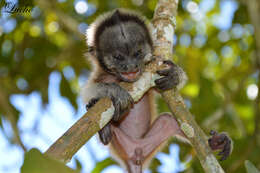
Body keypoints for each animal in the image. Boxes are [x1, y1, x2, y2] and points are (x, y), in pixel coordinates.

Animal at [82, 8, 232, 172]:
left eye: (137, 53)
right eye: (118, 57)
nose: (131, 66)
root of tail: (135, 154)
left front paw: (175, 74)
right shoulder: (101, 75)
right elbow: (87, 91)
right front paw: (116, 92)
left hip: (148, 144)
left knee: (168, 121)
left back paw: (214, 143)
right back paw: (105, 128)